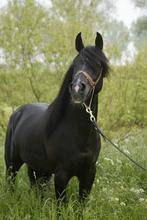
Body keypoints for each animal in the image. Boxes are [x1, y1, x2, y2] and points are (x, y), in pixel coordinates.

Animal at [4, 32, 109, 201]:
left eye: (98, 64)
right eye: (75, 63)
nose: (77, 89)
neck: (80, 134)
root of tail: (17, 112)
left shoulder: (89, 173)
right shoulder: (61, 175)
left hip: (39, 169)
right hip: (12, 164)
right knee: (11, 183)